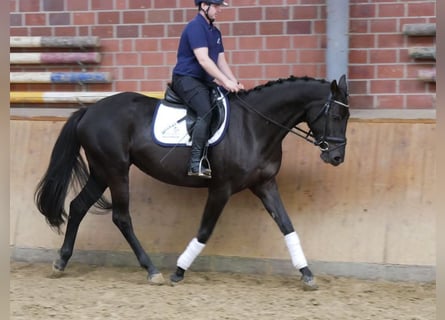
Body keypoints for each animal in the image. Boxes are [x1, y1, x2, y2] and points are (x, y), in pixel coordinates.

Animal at [34, 75, 348, 290]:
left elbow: (286, 225)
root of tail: (88, 111)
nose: (336, 157)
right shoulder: (221, 188)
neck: (254, 127)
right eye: (335, 115)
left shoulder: (265, 184)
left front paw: (307, 273)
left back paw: (61, 262)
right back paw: (152, 270)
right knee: (121, 217)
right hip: (116, 170)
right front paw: (179, 271)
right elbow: (205, 231)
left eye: (346, 116)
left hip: (101, 172)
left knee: (78, 206)